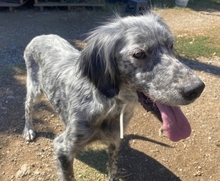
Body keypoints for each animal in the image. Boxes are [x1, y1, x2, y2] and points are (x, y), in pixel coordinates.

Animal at [22, 13, 205, 181]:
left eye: (171, 45)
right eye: (139, 54)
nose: (197, 89)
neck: (110, 106)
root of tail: (41, 36)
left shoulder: (115, 140)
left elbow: (113, 166)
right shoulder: (63, 149)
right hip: (35, 90)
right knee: (27, 107)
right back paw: (29, 130)